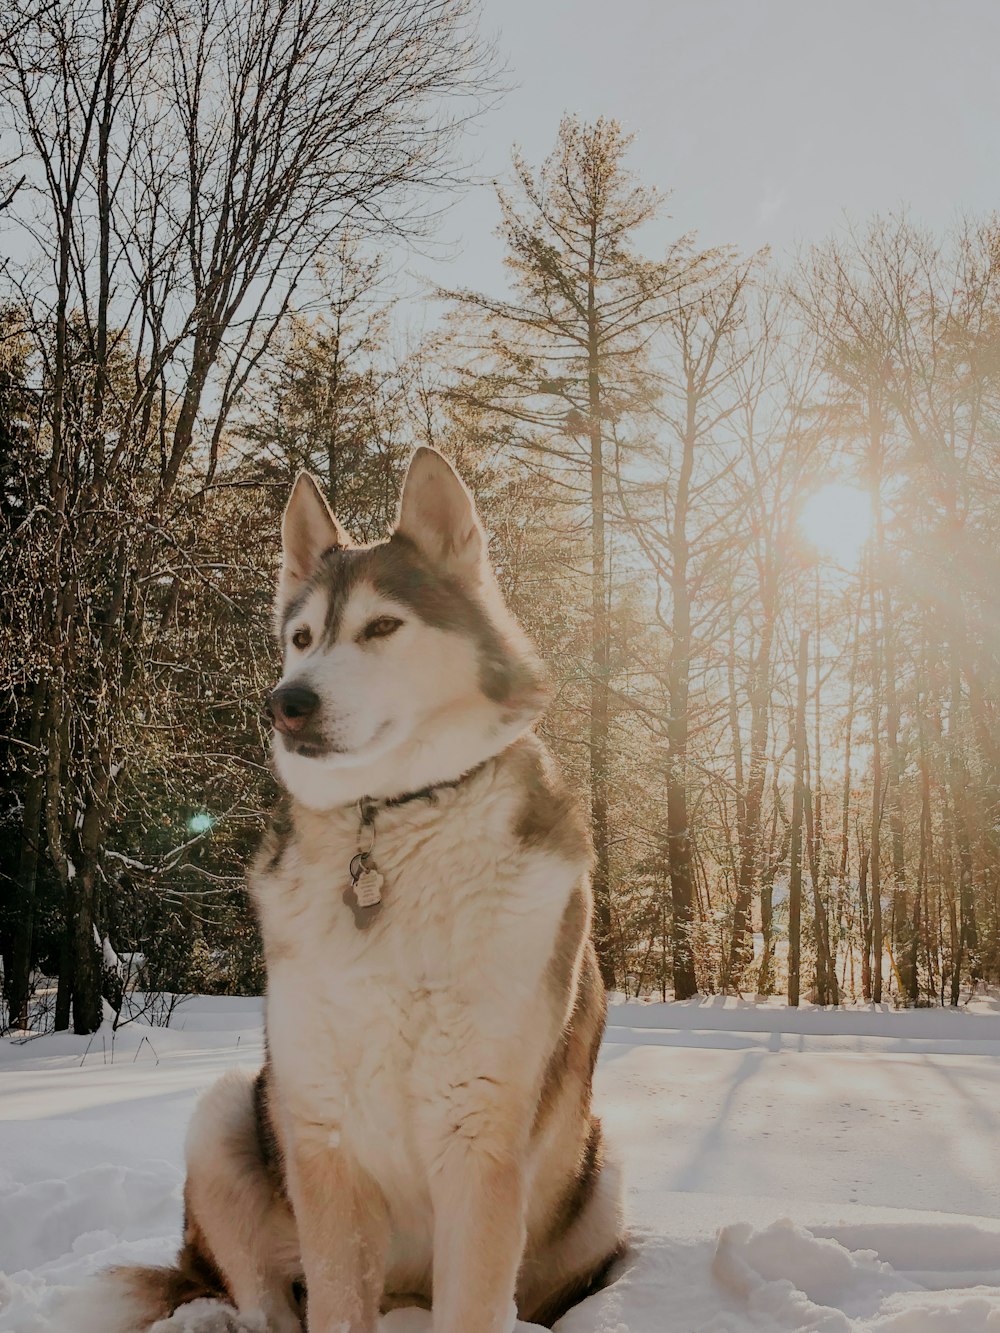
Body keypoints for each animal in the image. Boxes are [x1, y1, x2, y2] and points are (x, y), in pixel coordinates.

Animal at [94, 450, 626, 1333]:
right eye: (302, 638)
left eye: (382, 628)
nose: (287, 702)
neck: (396, 822)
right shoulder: (321, 1132)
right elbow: (337, 1300)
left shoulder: (480, 1138)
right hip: (230, 1111)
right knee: (258, 1297)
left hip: (600, 1167)